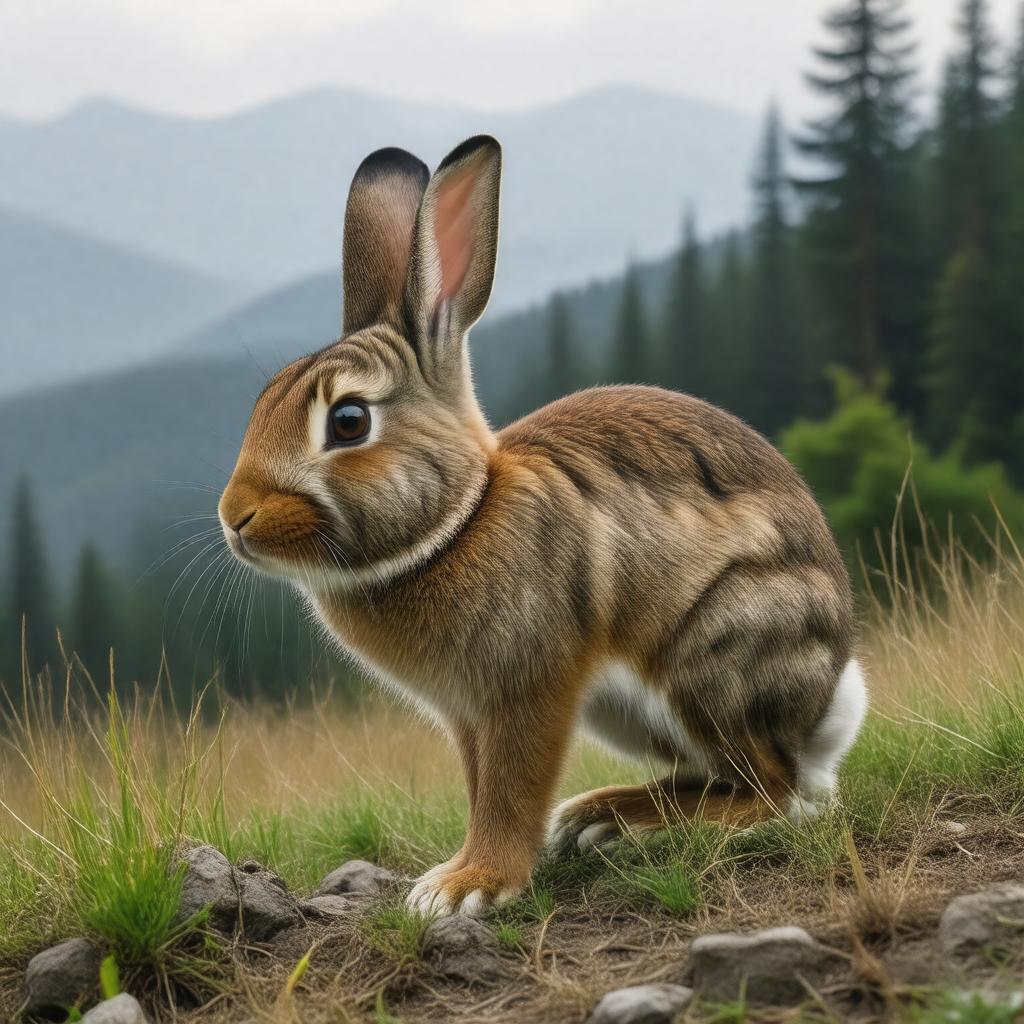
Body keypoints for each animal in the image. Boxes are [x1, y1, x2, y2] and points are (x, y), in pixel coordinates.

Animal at [218, 135, 868, 917]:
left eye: (348, 421)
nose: (234, 517)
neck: (456, 522)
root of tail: (829, 707)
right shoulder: (469, 717)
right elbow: (480, 789)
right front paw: (459, 874)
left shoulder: (528, 690)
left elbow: (509, 790)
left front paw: (467, 889)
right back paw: (604, 816)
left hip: (714, 657)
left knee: (774, 791)